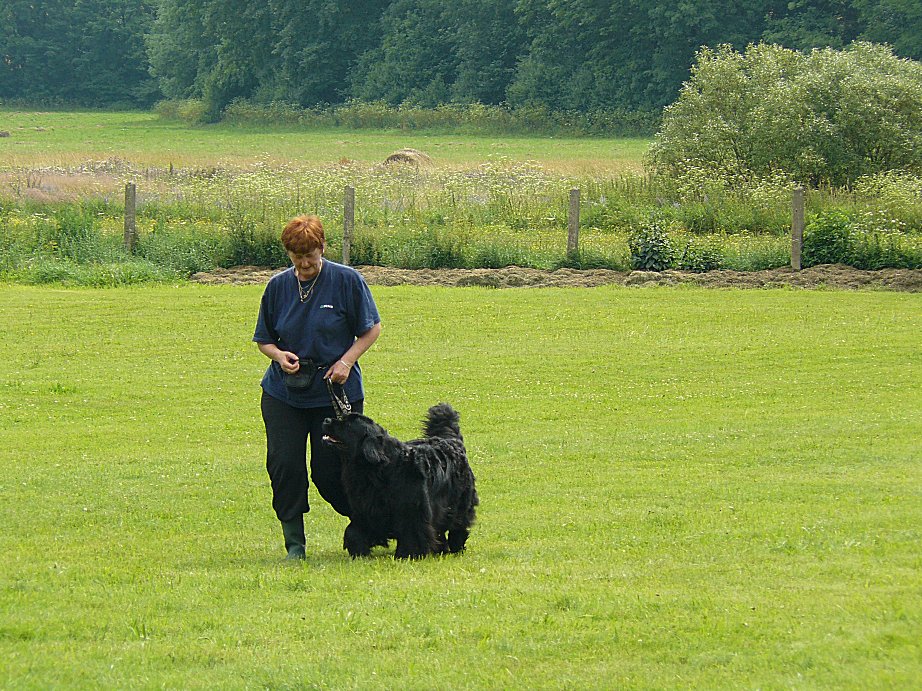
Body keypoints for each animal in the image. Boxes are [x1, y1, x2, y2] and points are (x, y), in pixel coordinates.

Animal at [322, 402, 478, 560]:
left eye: (347, 425)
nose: (326, 420)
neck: (377, 470)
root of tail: (452, 441)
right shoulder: (366, 509)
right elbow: (354, 531)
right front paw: (359, 552)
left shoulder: (413, 510)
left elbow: (412, 533)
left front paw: (407, 555)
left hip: (460, 503)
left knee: (458, 526)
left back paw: (456, 547)